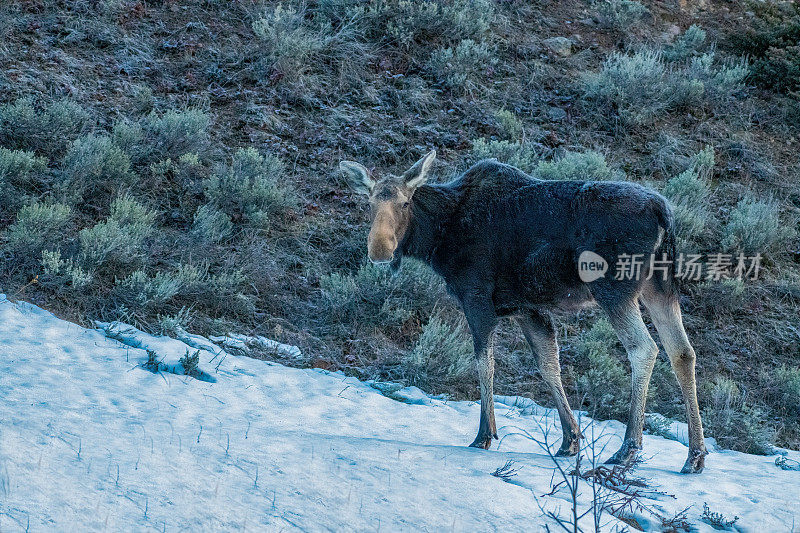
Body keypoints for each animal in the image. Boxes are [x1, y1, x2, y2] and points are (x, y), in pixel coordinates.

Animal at [338, 152, 708, 472]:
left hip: (614, 287)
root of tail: (664, 214)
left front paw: (484, 435)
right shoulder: (526, 308)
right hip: (660, 287)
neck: (439, 240)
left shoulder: (477, 297)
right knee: (683, 352)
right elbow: (548, 365)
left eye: (404, 202)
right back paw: (694, 456)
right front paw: (570, 439)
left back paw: (629, 447)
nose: (380, 250)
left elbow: (485, 363)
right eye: (370, 204)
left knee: (644, 349)